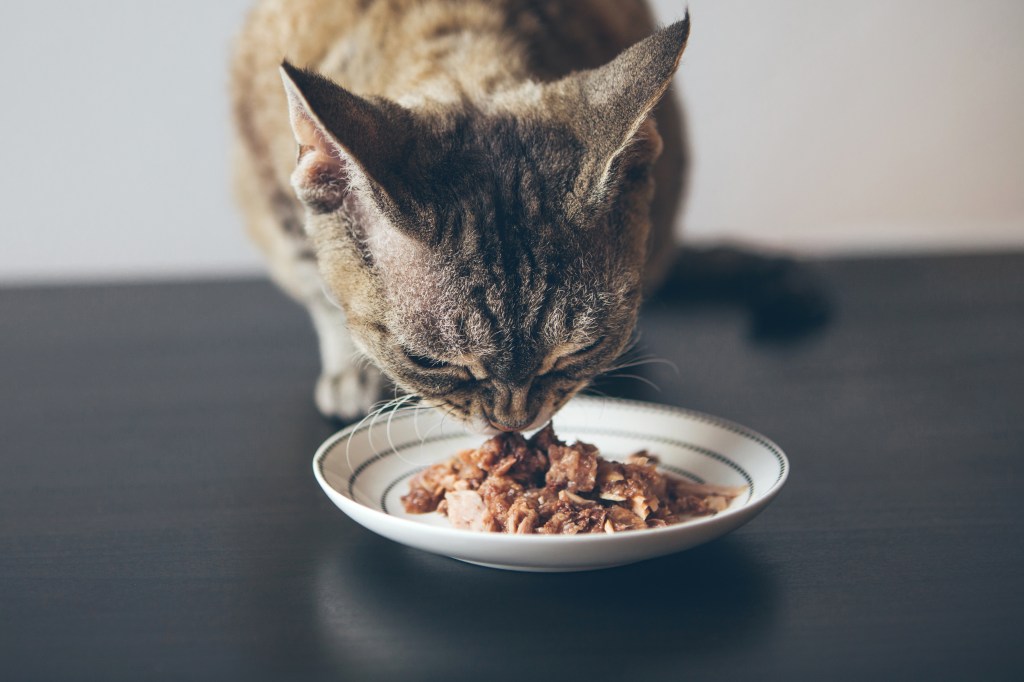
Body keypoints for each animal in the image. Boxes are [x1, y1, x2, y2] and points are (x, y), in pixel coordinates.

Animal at [231, 0, 692, 430]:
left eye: (581, 349)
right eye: (429, 362)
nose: (513, 422)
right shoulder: (273, 197)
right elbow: (320, 289)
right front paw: (350, 372)